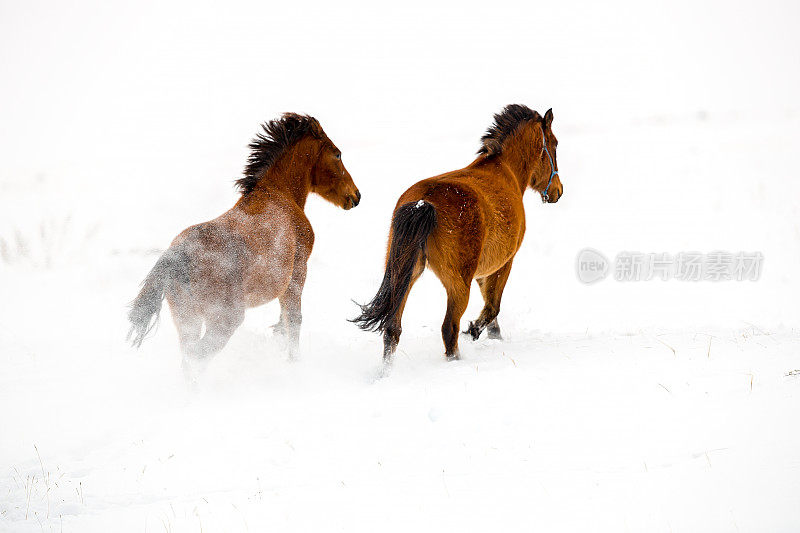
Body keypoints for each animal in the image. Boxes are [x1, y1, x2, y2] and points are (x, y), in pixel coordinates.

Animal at [127, 114, 360, 376]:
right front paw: (293, 361)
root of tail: (177, 257)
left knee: (189, 359)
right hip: (224, 320)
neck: (279, 195)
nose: (356, 196)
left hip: (188, 319)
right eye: (338, 154)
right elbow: (293, 319)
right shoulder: (298, 272)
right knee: (198, 357)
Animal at [354, 104, 564, 362]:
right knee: (449, 328)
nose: (558, 191)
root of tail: (424, 203)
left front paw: (492, 334)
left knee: (392, 329)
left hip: (405, 274)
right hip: (458, 284)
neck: (505, 171)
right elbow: (493, 307)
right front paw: (474, 330)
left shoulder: (484, 271)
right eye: (554, 144)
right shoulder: (504, 263)